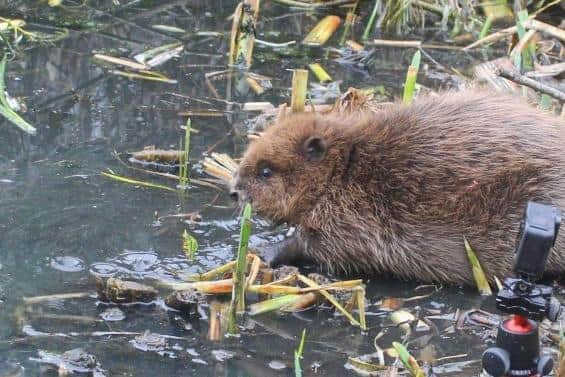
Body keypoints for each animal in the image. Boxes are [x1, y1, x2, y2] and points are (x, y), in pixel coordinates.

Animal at [228, 90, 564, 284]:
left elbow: (319, 243)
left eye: (265, 171)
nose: (235, 191)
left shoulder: (353, 218)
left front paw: (264, 250)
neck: (348, 166)